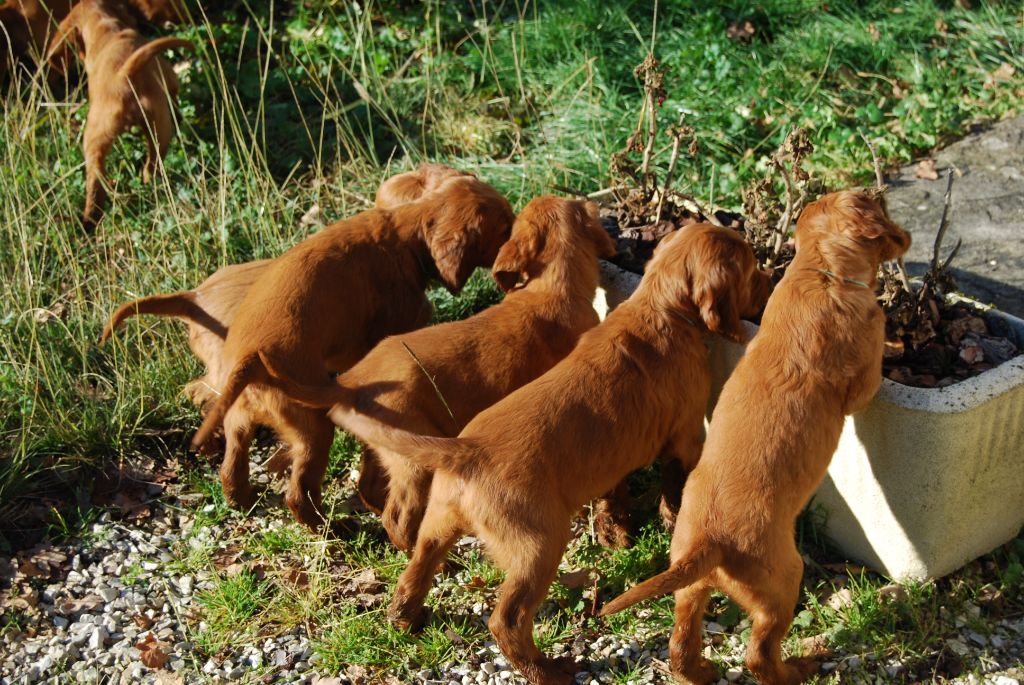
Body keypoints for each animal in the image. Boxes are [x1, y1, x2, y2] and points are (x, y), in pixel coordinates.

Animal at [598, 189, 913, 683]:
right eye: (875, 204)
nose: (881, 194)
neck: (817, 272)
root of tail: (706, 545)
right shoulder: (860, 379)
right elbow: (870, 378)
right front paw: (897, 347)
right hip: (782, 581)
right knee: (760, 653)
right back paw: (801, 666)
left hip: (690, 586)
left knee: (681, 639)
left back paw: (700, 671)